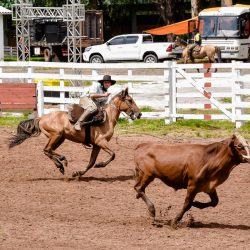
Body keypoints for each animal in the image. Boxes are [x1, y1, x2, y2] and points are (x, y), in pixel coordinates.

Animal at [8, 88, 142, 178]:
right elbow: (113, 154)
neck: (107, 118)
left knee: (48, 150)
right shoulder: (101, 142)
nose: (139, 114)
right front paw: (100, 165)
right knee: (47, 149)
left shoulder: (97, 145)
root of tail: (41, 118)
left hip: (60, 138)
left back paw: (60, 164)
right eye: (130, 100)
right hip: (56, 135)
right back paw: (62, 160)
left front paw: (78, 173)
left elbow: (91, 162)